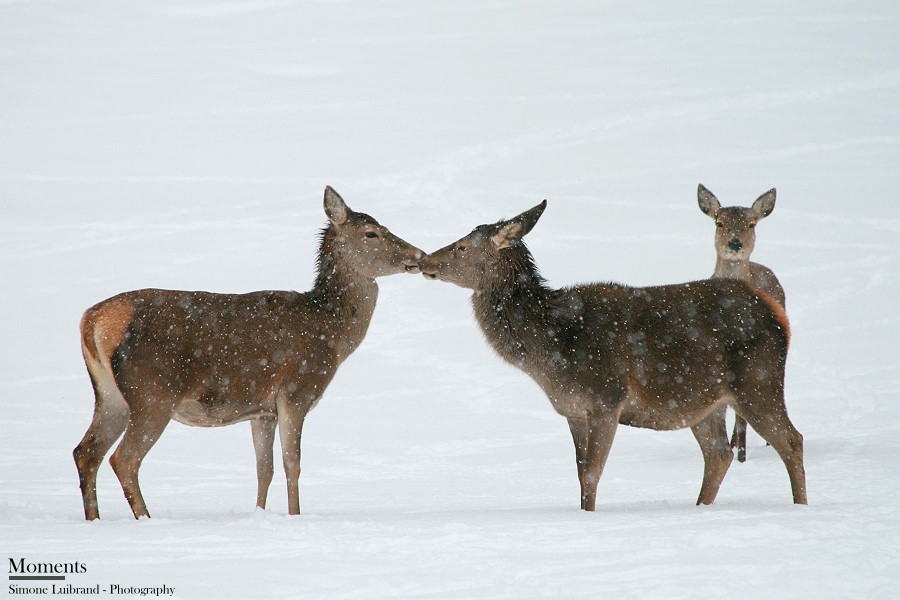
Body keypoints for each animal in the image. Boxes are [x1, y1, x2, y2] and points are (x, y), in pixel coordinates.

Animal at [72, 188, 424, 520]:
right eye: (372, 233)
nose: (419, 255)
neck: (332, 334)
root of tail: (92, 320)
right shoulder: (295, 391)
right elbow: (292, 462)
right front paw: (295, 515)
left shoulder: (262, 410)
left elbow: (263, 469)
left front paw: (259, 514)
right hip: (152, 393)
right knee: (124, 458)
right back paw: (146, 518)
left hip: (110, 394)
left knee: (85, 452)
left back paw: (94, 518)